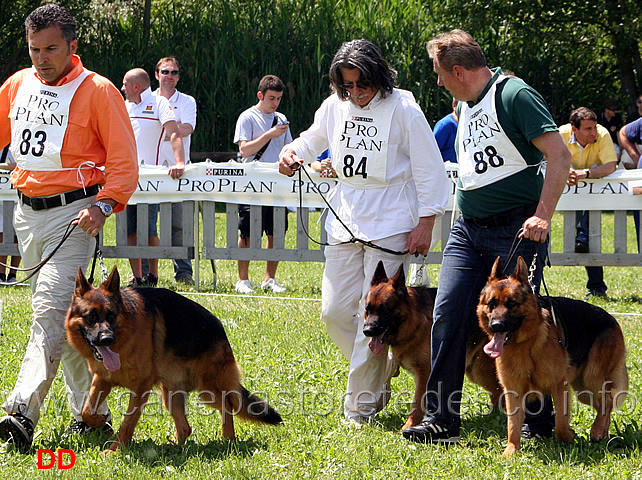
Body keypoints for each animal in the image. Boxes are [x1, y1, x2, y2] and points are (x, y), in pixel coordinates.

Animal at [64, 266, 280, 454]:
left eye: (111, 315)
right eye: (91, 316)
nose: (107, 339)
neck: (123, 339)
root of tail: (220, 328)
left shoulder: (140, 388)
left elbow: (128, 423)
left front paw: (114, 450)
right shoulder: (102, 379)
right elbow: (87, 410)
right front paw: (101, 422)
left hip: (208, 389)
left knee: (228, 405)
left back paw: (228, 439)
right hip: (170, 393)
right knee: (186, 427)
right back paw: (173, 445)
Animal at [362, 262, 502, 432]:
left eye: (384, 309)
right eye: (367, 309)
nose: (367, 331)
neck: (413, 320)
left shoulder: (425, 373)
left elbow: (417, 404)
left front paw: (409, 426)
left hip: (481, 370)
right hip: (477, 371)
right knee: (498, 392)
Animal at [478, 256, 628, 456]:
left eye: (511, 303)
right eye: (491, 304)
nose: (496, 325)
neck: (527, 343)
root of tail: (611, 317)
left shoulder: (559, 386)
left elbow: (561, 425)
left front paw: (568, 437)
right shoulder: (513, 392)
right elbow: (512, 426)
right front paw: (511, 451)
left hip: (592, 378)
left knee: (608, 401)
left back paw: (597, 431)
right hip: (583, 389)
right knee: (602, 404)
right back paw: (602, 432)